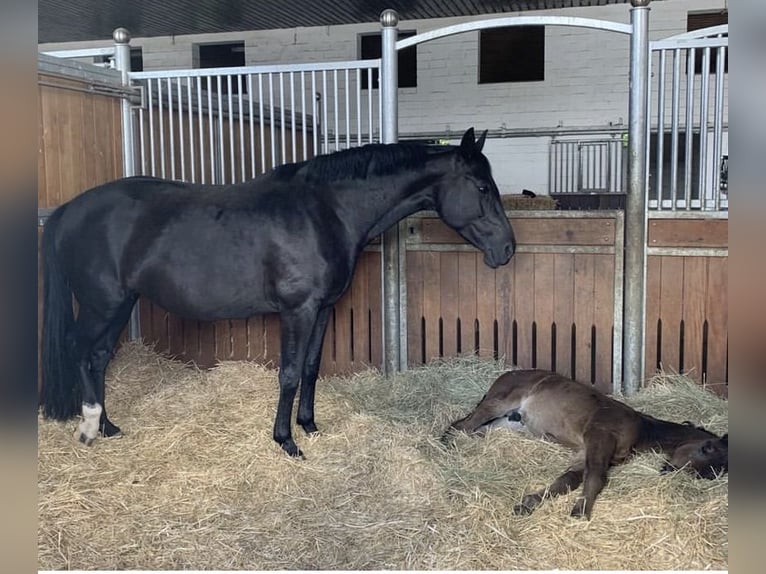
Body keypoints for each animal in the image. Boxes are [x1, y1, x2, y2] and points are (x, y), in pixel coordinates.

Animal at [39, 127, 512, 460]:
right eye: (482, 187)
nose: (507, 248)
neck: (325, 211)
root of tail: (68, 210)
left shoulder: (323, 309)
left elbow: (311, 368)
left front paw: (310, 426)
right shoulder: (297, 311)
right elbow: (288, 372)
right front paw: (286, 441)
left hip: (121, 304)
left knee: (98, 356)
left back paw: (109, 426)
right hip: (102, 304)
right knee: (78, 349)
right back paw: (88, 426)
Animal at [444, 372, 732, 524]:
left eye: (714, 473)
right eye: (706, 448)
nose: (668, 471)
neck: (642, 429)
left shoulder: (586, 452)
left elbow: (567, 480)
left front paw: (528, 504)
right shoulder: (599, 436)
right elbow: (595, 477)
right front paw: (580, 512)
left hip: (506, 424)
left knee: (471, 429)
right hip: (497, 404)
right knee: (461, 426)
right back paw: (447, 446)